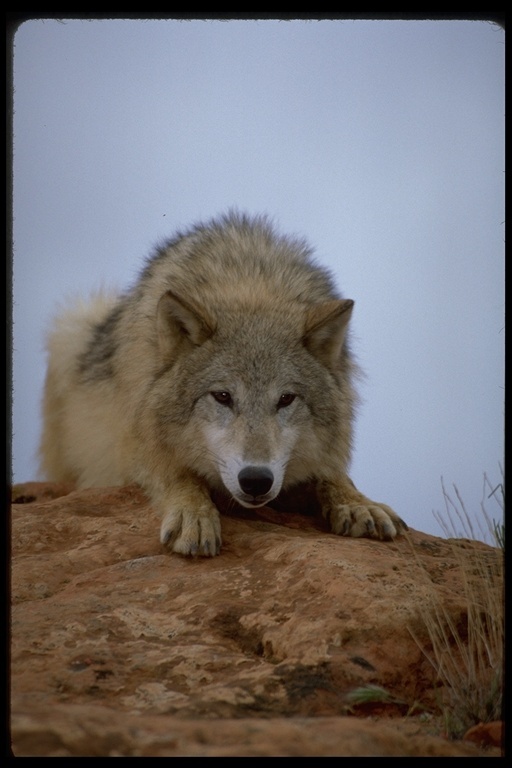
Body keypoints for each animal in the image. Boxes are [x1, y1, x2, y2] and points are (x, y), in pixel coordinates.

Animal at [39, 213, 408, 556]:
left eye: (286, 399)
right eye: (222, 396)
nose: (257, 480)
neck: (248, 285)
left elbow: (333, 473)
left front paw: (358, 503)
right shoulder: (133, 444)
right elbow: (177, 472)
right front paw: (193, 515)